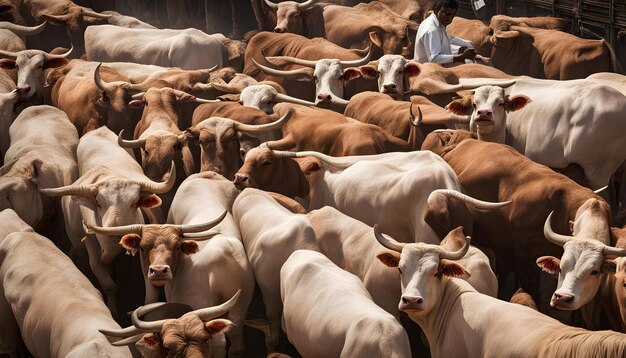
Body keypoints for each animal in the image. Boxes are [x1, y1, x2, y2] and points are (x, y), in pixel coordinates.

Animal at [40, 127, 174, 318]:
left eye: (134, 203)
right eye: (98, 203)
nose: (114, 230)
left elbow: (150, 293)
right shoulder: (91, 249)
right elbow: (109, 284)